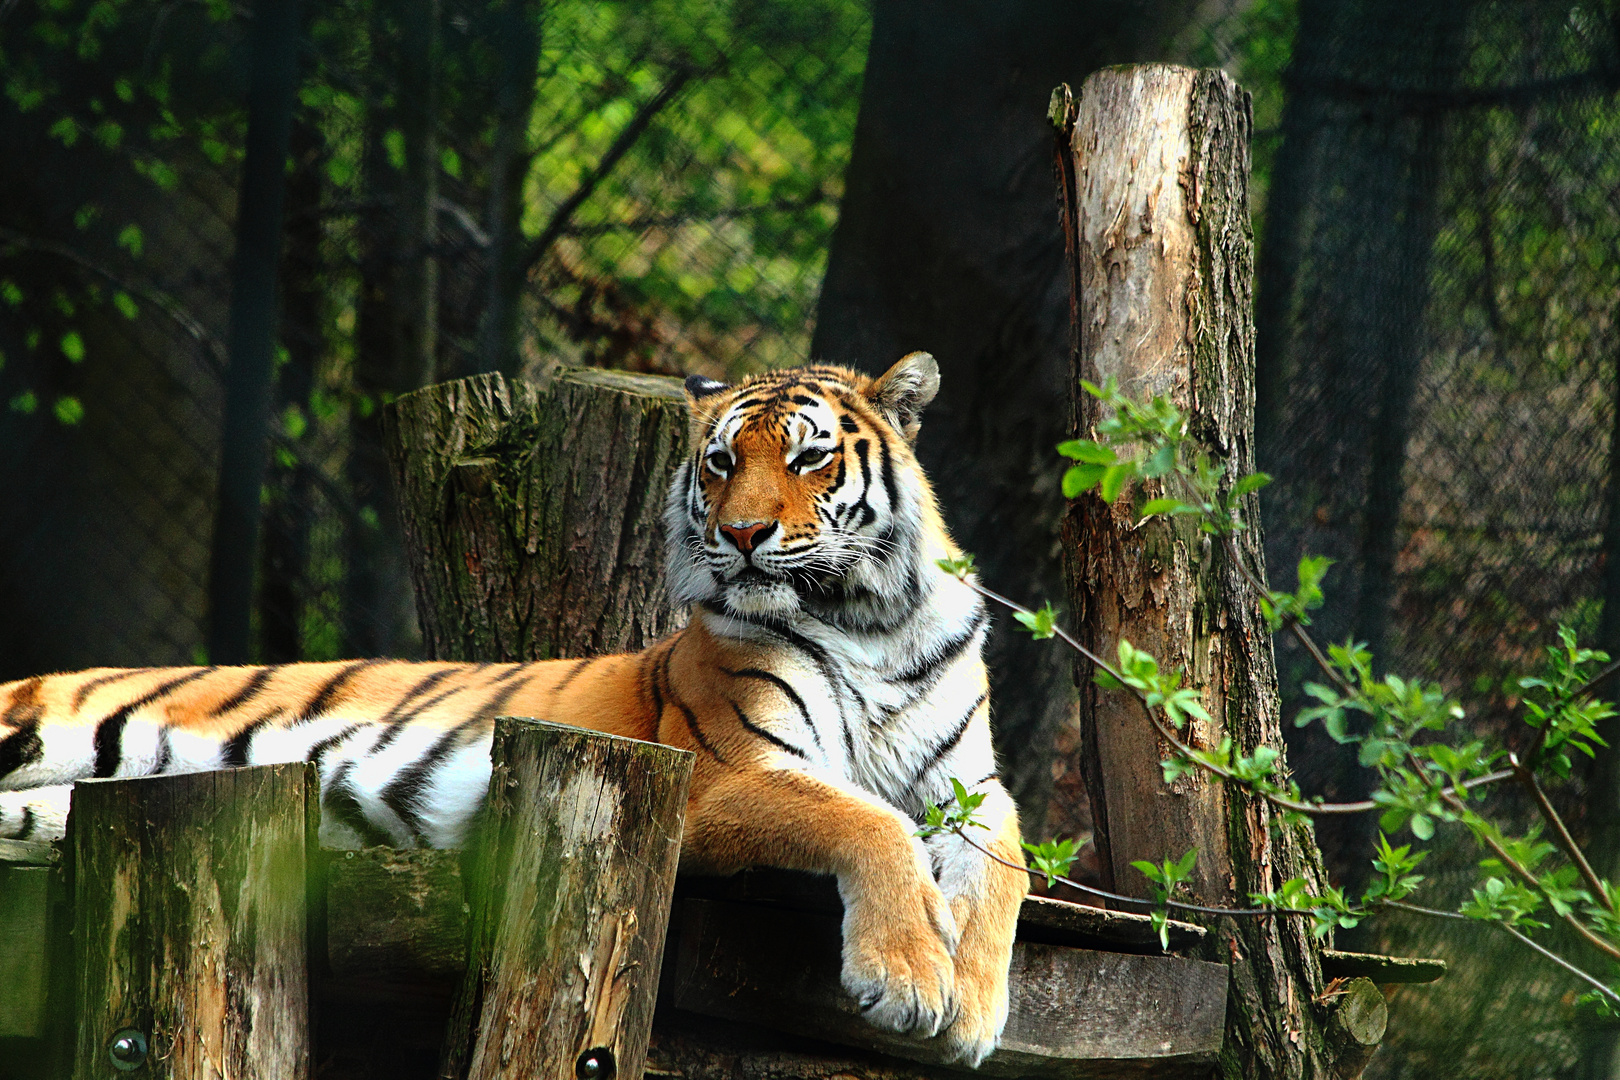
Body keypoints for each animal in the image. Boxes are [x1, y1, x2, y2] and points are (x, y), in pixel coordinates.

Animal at [0, 352, 1023, 1062]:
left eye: (811, 459)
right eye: (722, 462)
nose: (740, 535)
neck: (869, 621)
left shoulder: (973, 784)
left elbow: (1003, 867)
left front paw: (971, 1005)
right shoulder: (721, 774)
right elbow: (867, 819)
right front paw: (908, 977)